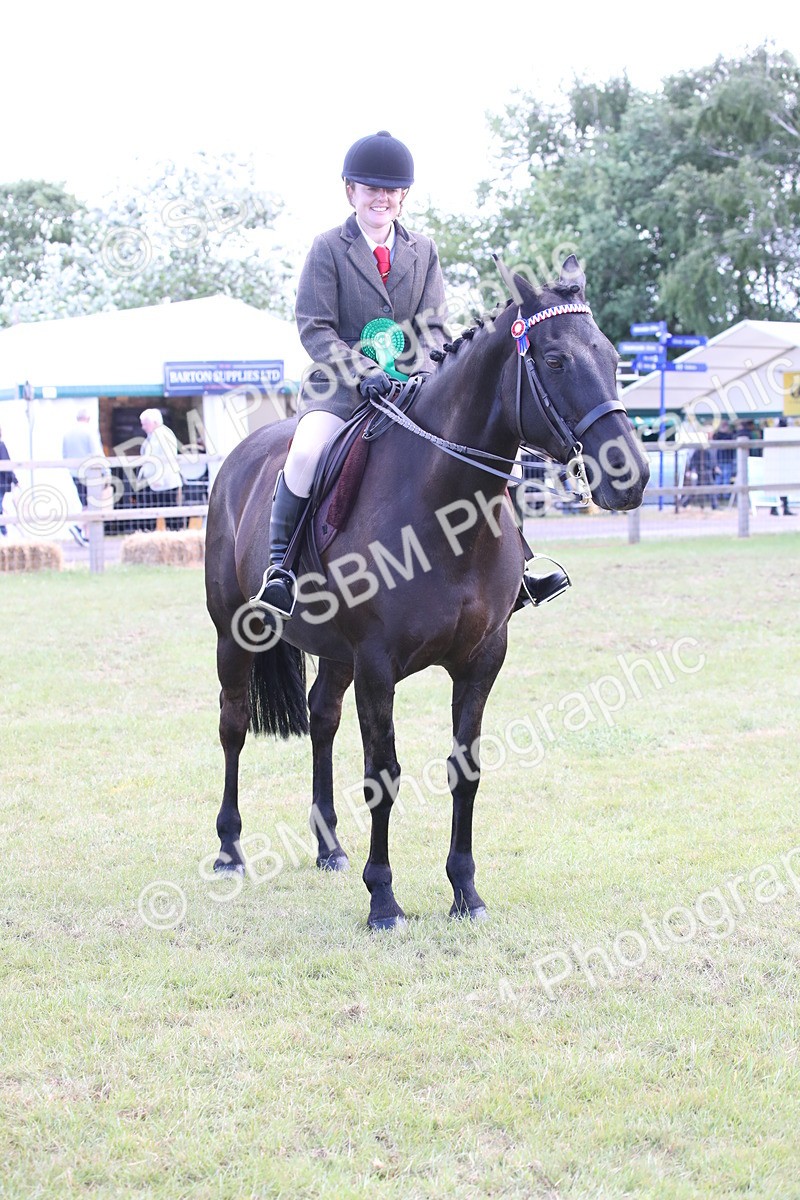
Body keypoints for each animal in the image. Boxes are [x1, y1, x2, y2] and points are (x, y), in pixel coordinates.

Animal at [204, 257, 649, 929]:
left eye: (613, 355)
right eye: (554, 360)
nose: (631, 475)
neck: (444, 508)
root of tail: (240, 457)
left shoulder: (481, 659)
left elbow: (465, 770)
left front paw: (466, 892)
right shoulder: (377, 666)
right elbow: (382, 776)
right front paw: (384, 900)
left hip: (335, 654)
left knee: (322, 718)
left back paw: (329, 846)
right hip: (237, 632)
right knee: (233, 724)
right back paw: (230, 849)